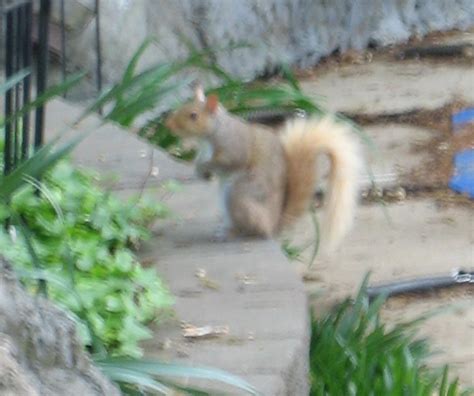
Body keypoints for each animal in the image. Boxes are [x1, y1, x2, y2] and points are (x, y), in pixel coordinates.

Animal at [165, 86, 362, 252]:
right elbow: (199, 161)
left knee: (252, 229)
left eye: (193, 115)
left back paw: (232, 234)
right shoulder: (203, 152)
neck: (212, 134)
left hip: (238, 197)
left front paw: (206, 168)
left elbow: (228, 162)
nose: (169, 125)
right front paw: (199, 171)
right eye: (183, 106)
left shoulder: (233, 148)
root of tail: (272, 227)